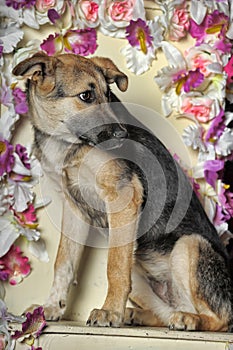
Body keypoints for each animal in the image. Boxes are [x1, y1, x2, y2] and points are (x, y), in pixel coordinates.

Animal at [12, 52, 233, 330]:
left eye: (108, 94)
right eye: (86, 96)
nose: (122, 133)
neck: (65, 142)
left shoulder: (123, 195)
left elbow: (115, 267)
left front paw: (109, 312)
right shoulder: (74, 209)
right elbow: (63, 262)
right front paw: (51, 307)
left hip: (189, 244)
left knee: (218, 319)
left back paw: (188, 319)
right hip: (139, 268)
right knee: (166, 311)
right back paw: (138, 315)